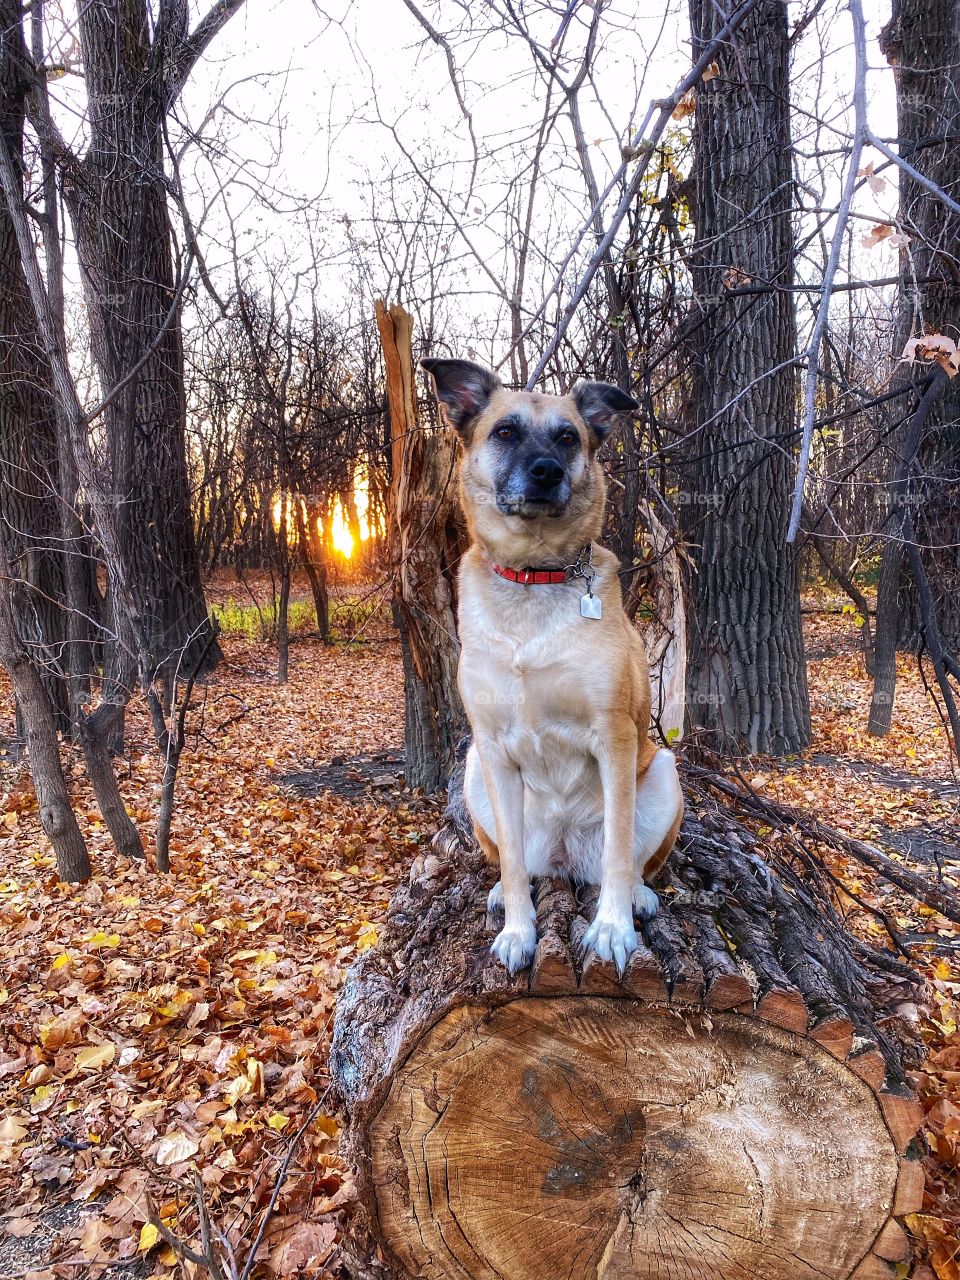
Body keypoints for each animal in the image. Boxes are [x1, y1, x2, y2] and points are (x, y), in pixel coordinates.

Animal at [424, 355, 686, 972]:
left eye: (568, 437)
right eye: (505, 431)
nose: (545, 471)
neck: (533, 577)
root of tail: (566, 853)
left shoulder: (614, 737)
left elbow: (618, 849)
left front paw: (612, 928)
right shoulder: (492, 746)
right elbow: (514, 861)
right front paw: (520, 931)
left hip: (664, 772)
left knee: (633, 861)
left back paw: (636, 895)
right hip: (475, 772)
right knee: (517, 859)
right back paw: (504, 890)